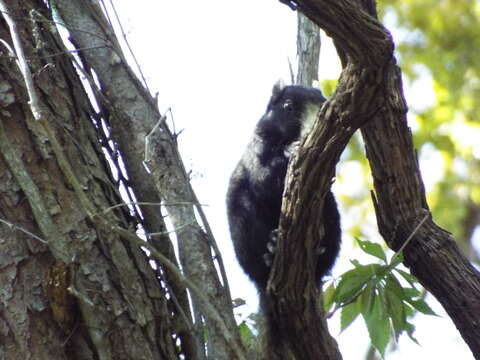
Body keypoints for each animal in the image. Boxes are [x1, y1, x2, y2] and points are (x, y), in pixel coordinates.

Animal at [226, 81, 342, 344]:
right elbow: (263, 176)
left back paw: (318, 249)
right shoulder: (256, 153)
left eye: (323, 105)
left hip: (332, 218)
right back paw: (270, 250)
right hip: (243, 222)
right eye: (288, 107)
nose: (310, 134)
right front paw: (290, 151)